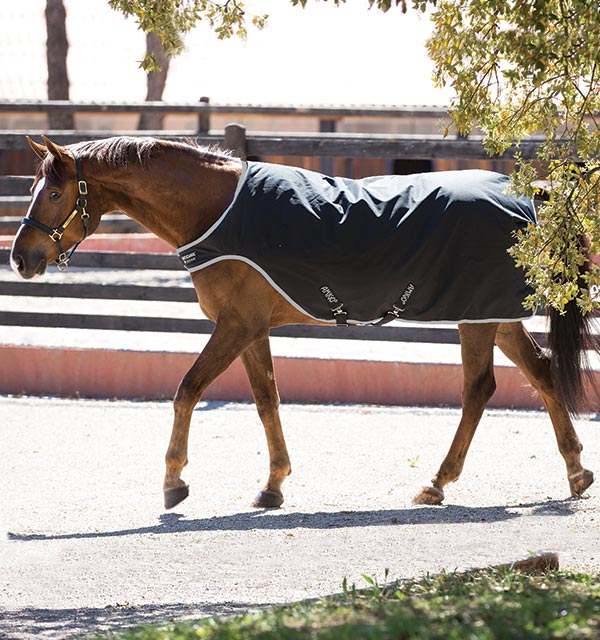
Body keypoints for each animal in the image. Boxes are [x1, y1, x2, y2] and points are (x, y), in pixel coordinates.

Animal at [9, 135, 596, 510]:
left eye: (55, 193)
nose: (20, 258)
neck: (219, 211)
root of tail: (522, 193)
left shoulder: (235, 326)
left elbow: (187, 389)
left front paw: (174, 481)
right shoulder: (251, 329)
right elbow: (266, 399)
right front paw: (274, 484)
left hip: (476, 317)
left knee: (479, 387)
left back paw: (437, 482)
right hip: (495, 314)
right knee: (541, 373)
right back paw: (575, 471)